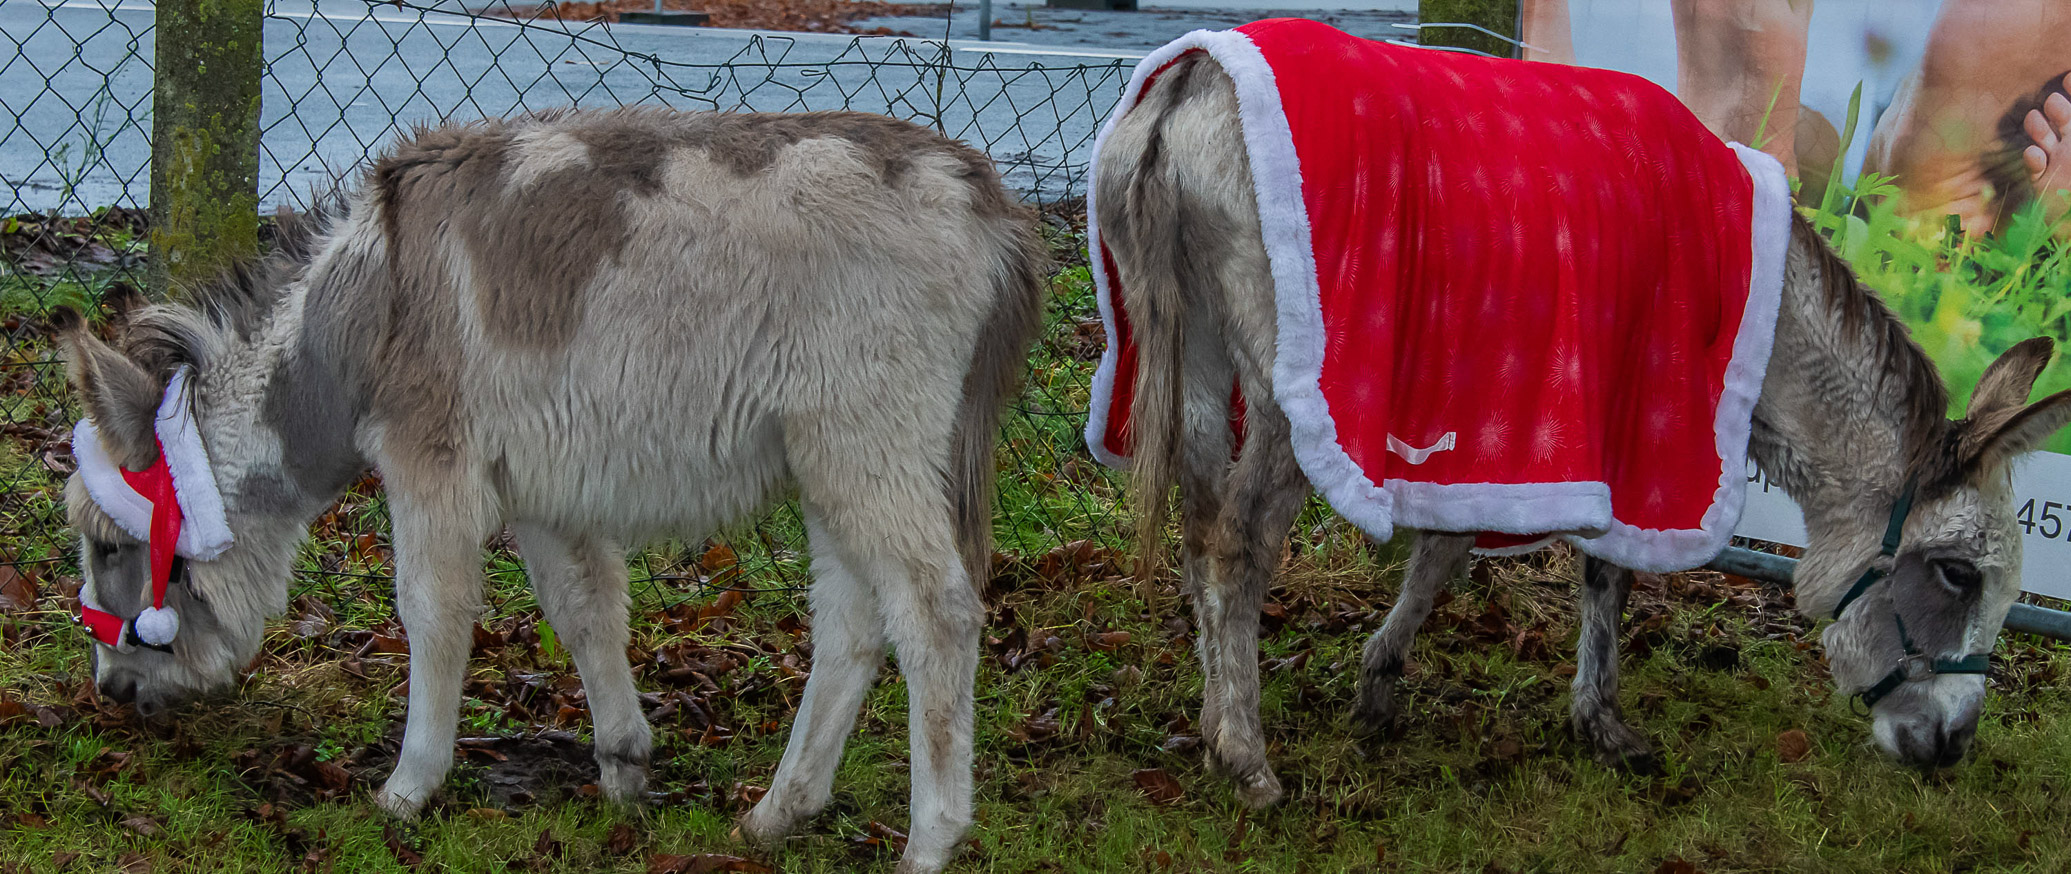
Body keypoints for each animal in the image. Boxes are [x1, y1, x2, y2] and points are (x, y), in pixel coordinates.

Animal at [57, 107, 1044, 873]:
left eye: (109, 545)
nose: (111, 690)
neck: (362, 318)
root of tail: (986, 200)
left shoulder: (430, 458)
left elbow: (433, 609)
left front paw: (408, 787)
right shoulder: (542, 491)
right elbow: (584, 611)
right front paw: (623, 767)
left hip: (869, 440)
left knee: (935, 613)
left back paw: (931, 840)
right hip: (829, 457)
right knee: (850, 625)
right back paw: (777, 813)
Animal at [1092, 46, 2071, 808]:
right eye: (1955, 575)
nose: (1950, 748)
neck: (1755, 301)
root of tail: (1191, 86)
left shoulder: (1492, 417)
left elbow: (1444, 551)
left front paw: (1379, 683)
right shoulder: (1646, 411)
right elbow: (1609, 569)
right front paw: (1601, 720)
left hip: (1189, 335)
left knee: (1197, 521)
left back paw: (1216, 720)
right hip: (1293, 375)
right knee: (1239, 541)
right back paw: (1243, 754)